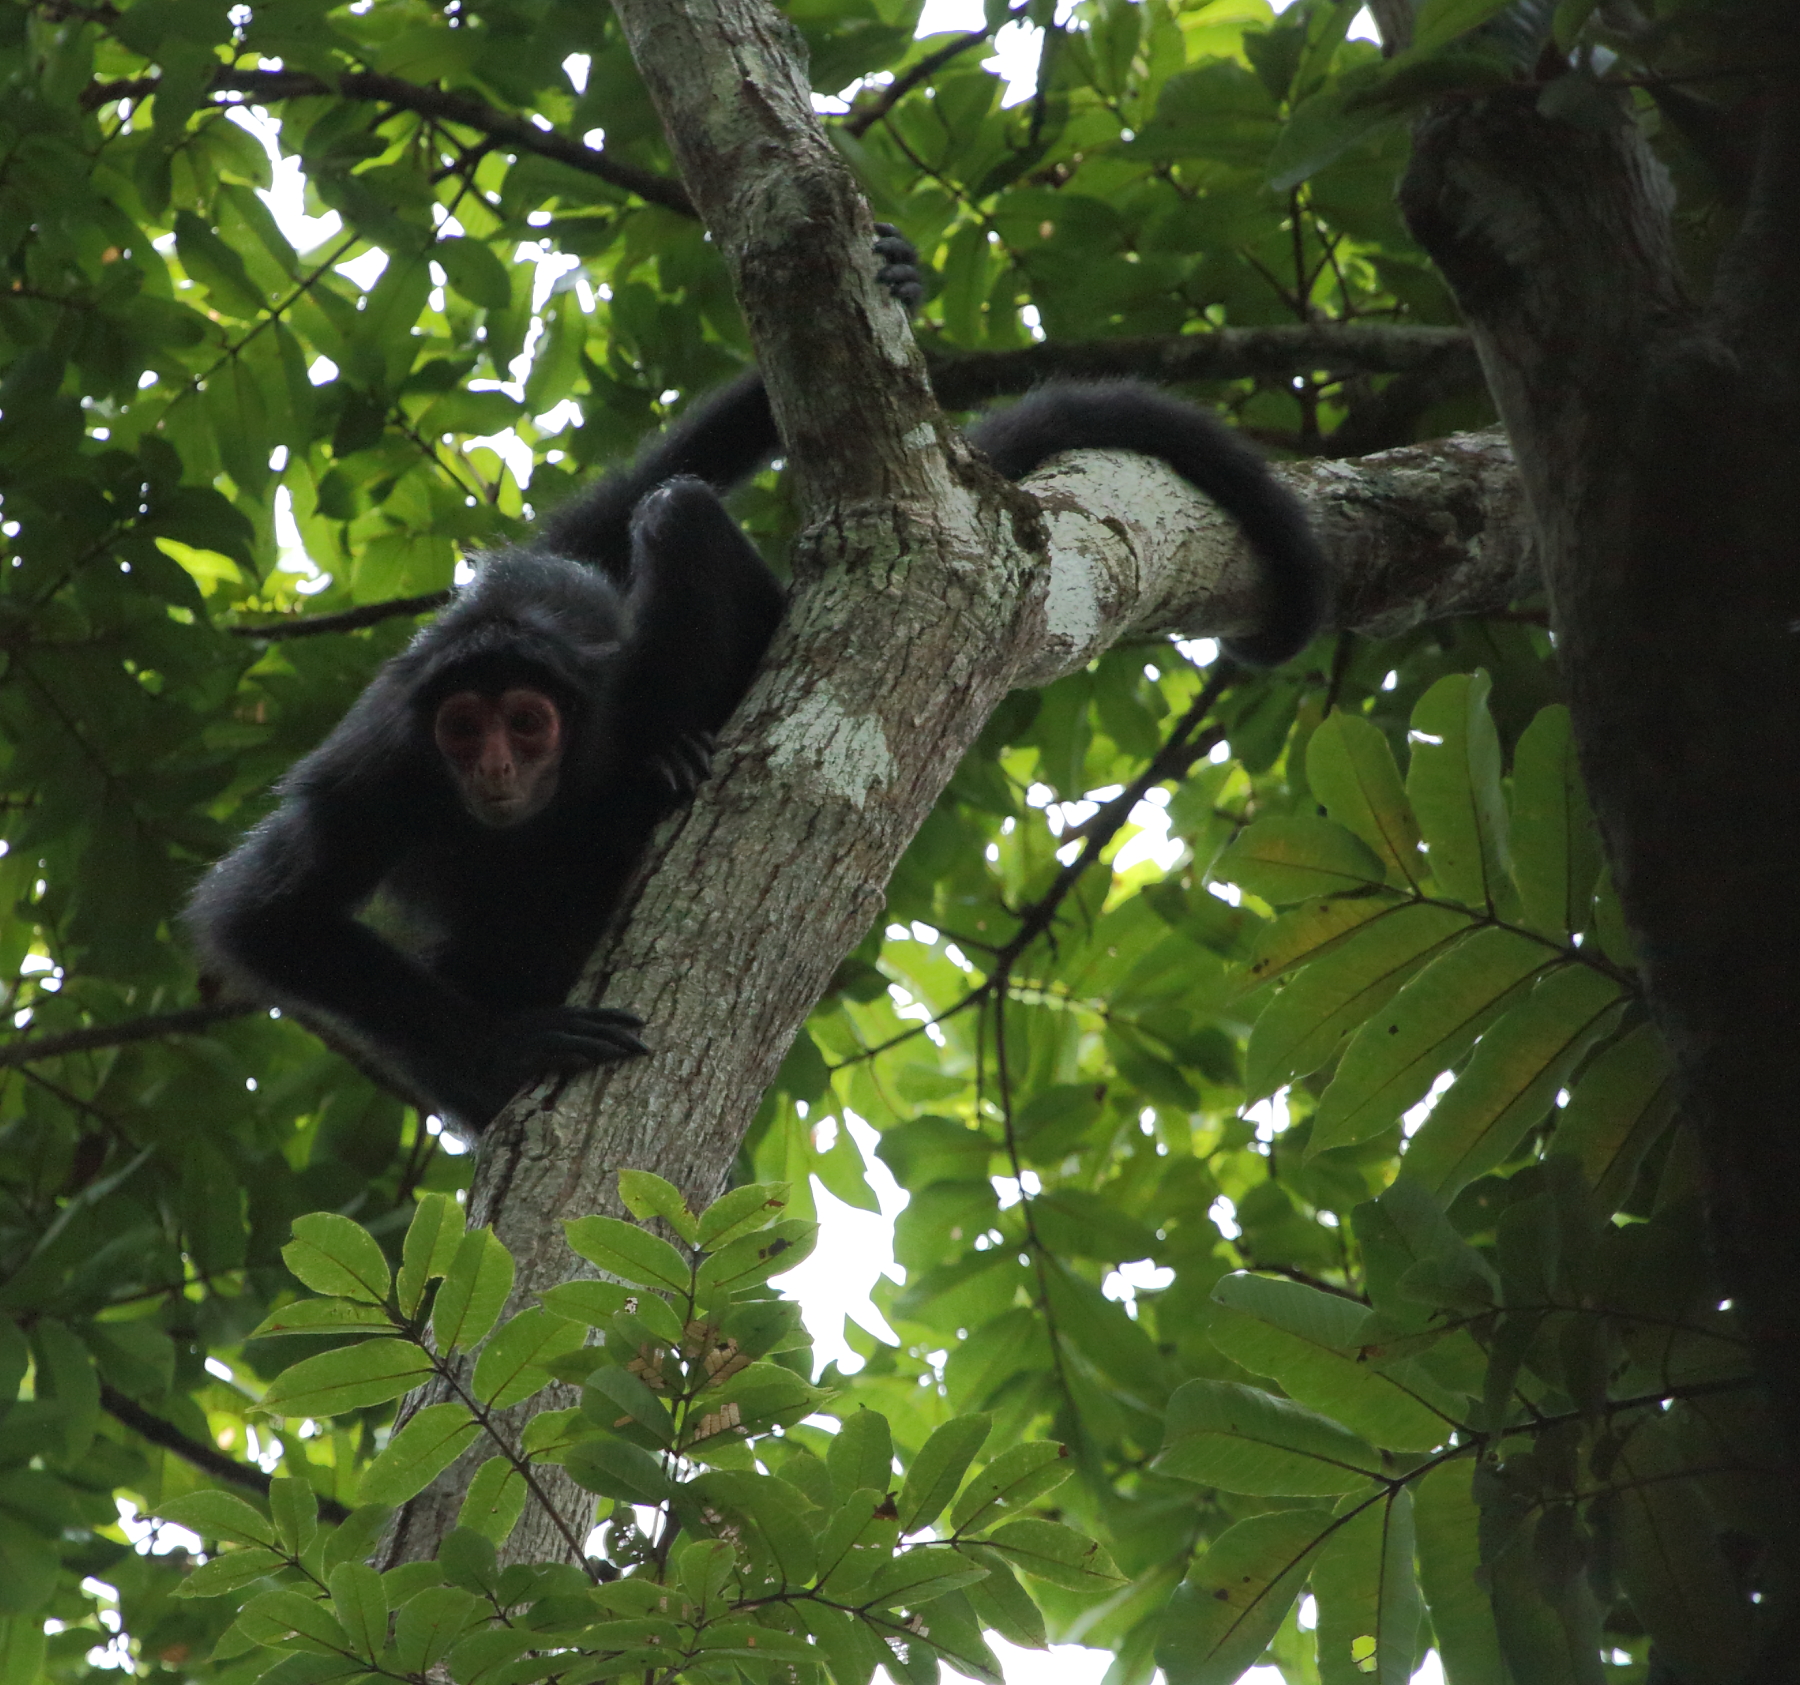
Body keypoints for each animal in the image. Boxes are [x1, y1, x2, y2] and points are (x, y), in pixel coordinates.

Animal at [189, 230, 1332, 1137]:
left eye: (527, 723)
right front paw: (509, 1055)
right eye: (465, 731)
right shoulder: (379, 772)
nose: (499, 767)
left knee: (674, 510)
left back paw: (668, 763)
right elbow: (262, 920)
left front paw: (895, 274)